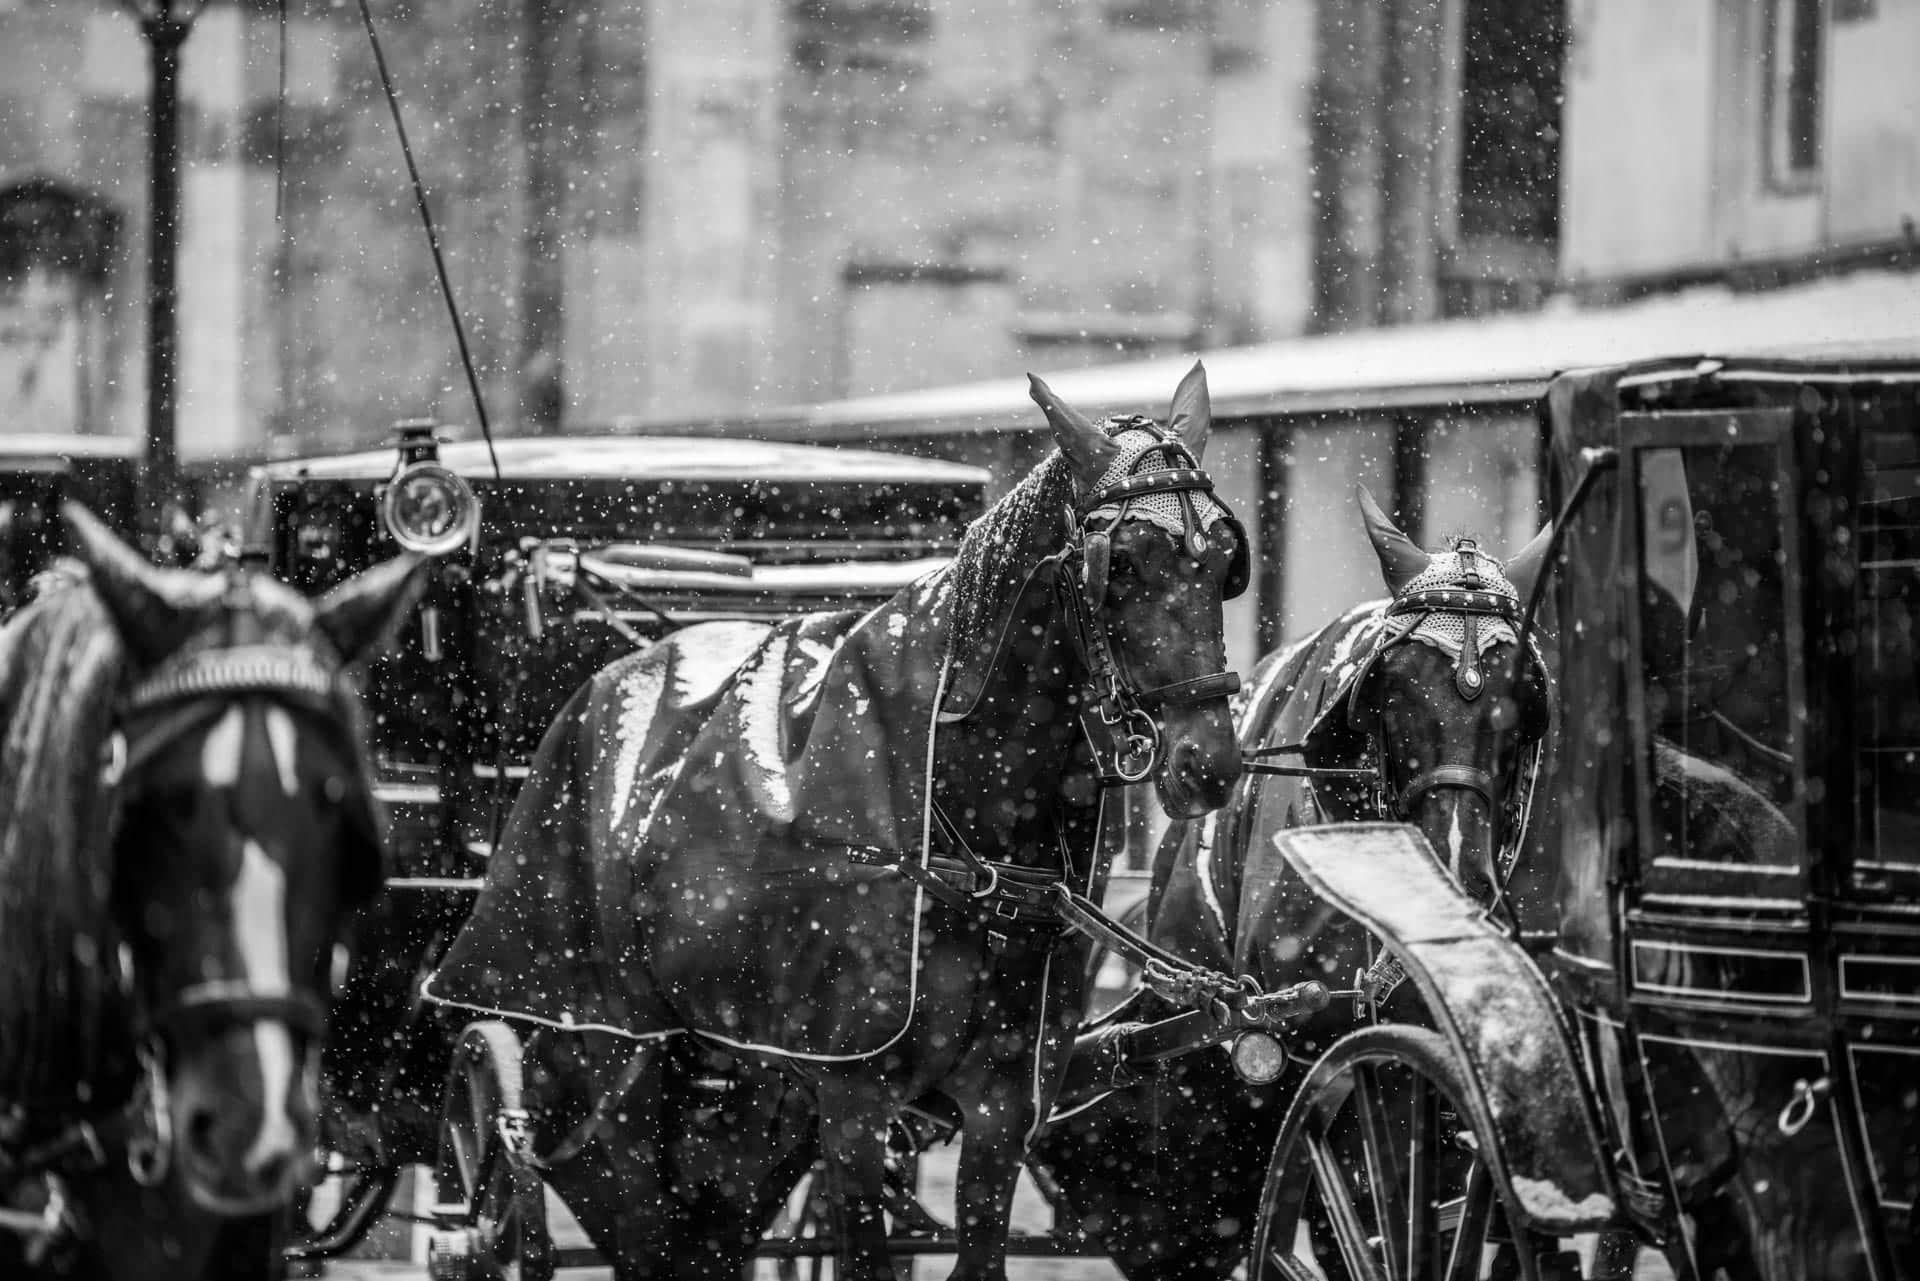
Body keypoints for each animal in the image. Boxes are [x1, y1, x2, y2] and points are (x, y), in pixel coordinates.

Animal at [424, 362, 1244, 1281]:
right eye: (1124, 561)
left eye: (1224, 558)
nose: (1210, 761)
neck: (958, 839)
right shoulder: (852, 1100)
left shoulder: (1000, 1102)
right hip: (613, 1050)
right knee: (610, 1194)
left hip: (741, 1078)